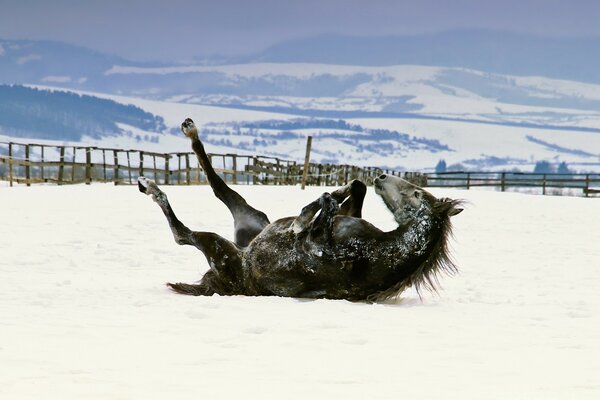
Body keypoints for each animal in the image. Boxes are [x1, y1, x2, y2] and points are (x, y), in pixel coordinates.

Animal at [137, 117, 464, 302]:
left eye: (416, 193)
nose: (382, 177)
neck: (375, 251)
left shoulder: (313, 248)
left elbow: (322, 209)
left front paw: (301, 220)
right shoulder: (350, 216)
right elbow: (349, 190)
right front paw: (331, 194)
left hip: (220, 247)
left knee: (183, 232)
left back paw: (151, 186)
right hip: (252, 218)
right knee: (217, 185)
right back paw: (188, 133)